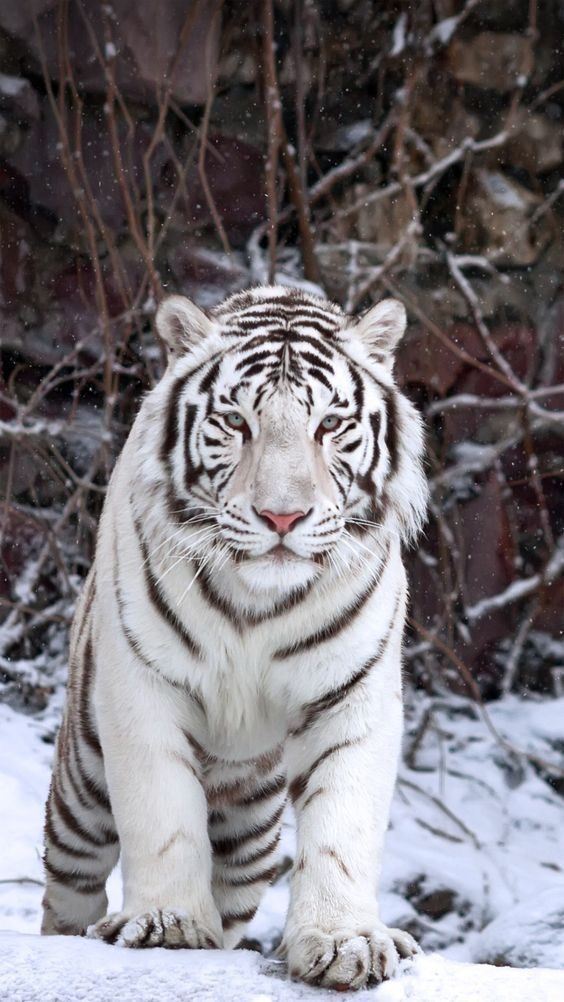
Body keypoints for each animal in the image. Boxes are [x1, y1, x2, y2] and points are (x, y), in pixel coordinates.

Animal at [41, 285, 428, 991]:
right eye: (237, 423)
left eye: (329, 425)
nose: (283, 516)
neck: (258, 602)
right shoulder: (141, 687)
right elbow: (163, 814)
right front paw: (165, 924)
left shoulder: (353, 696)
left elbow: (342, 829)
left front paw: (346, 942)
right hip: (81, 790)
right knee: (68, 891)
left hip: (250, 838)